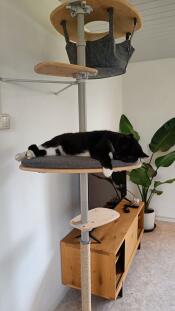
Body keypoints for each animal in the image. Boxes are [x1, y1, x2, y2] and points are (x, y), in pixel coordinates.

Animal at [15, 130, 148, 177]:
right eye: (122, 147)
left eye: (129, 157)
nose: (117, 156)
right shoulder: (97, 148)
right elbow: (105, 156)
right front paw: (108, 171)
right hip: (54, 144)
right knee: (34, 146)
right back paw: (23, 155)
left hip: (53, 151)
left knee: (38, 150)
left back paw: (25, 155)